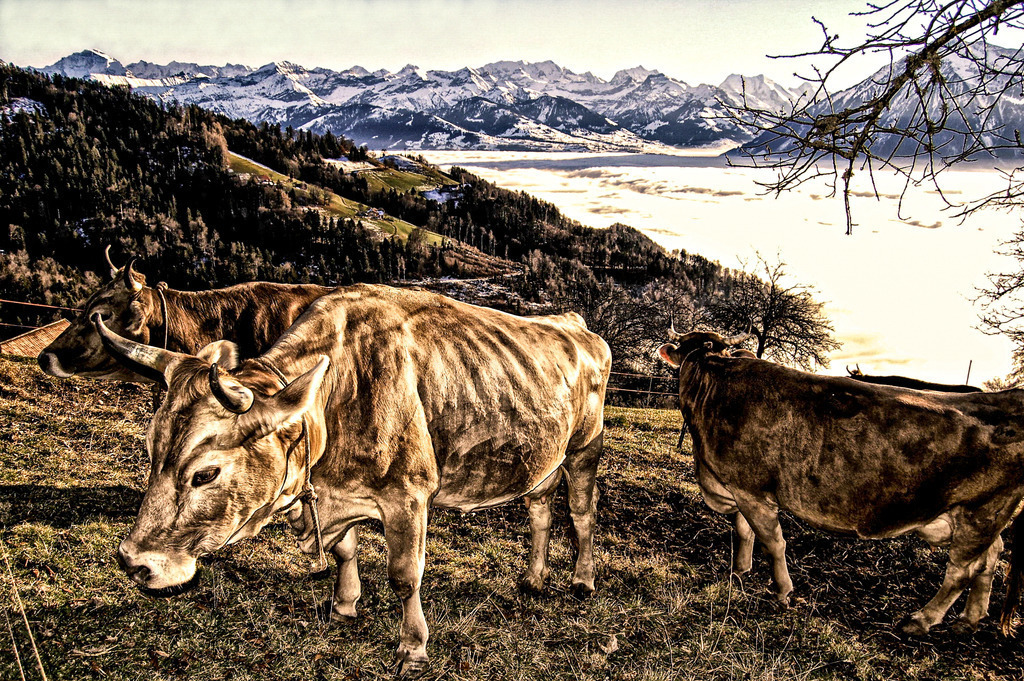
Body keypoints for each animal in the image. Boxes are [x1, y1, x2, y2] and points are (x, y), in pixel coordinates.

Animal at [92, 284, 611, 677]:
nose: (133, 562)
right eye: (150, 450)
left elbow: (405, 575)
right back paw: (534, 578)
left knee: (581, 515)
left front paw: (413, 649)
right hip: (543, 458)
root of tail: (575, 325)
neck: (340, 394)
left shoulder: (408, 495)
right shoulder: (336, 496)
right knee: (540, 510)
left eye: (205, 472)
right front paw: (344, 605)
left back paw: (583, 581)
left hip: (585, 449)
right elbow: (344, 550)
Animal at [658, 329, 1024, 637]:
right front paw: (740, 571)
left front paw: (782, 591)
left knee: (961, 570)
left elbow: (773, 542)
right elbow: (744, 531)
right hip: (982, 517)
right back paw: (970, 619)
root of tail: (1009, 397)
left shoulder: (753, 491)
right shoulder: (736, 486)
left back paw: (921, 620)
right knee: (990, 558)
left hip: (979, 513)